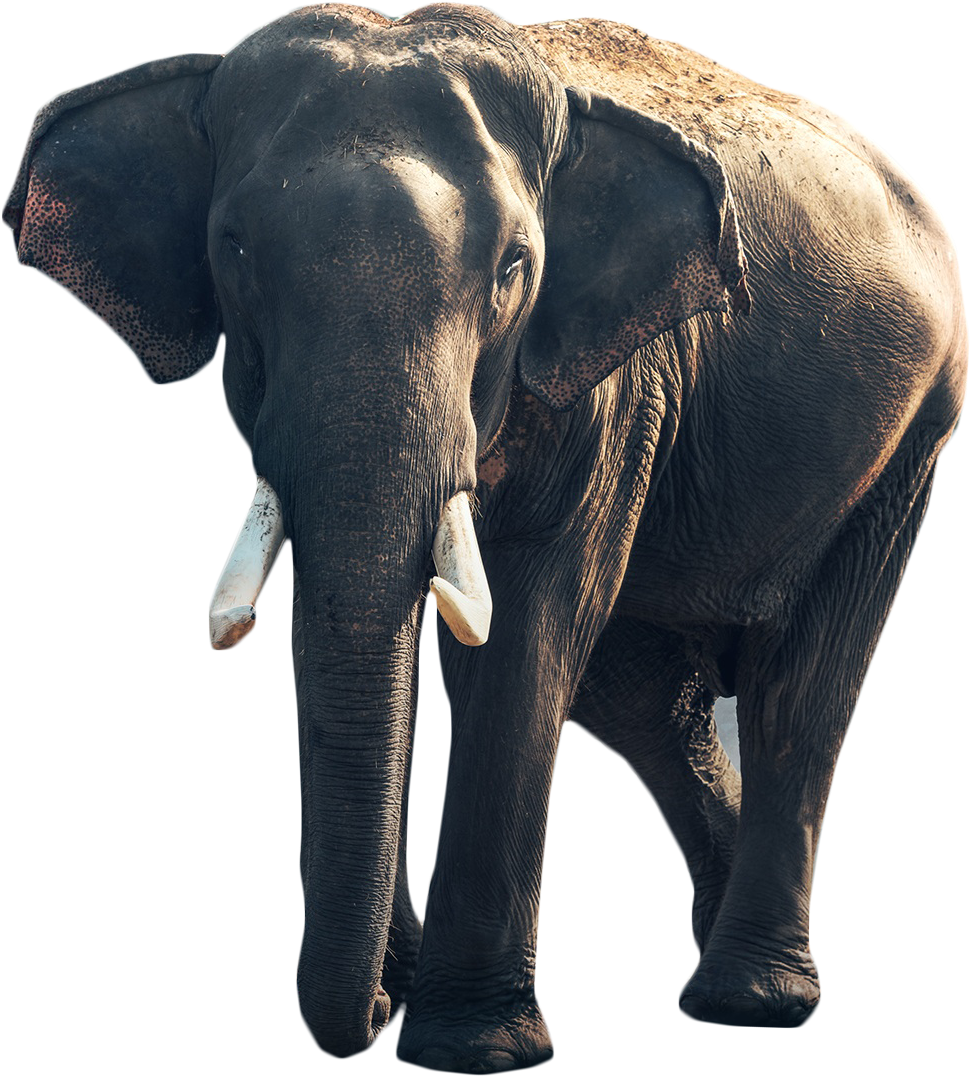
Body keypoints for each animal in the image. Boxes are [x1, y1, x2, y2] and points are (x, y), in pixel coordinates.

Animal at [5, 2, 966, 1069]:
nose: (372, 1015)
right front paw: (407, 997)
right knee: (643, 699)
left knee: (799, 690)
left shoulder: (615, 384)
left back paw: (745, 1000)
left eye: (514, 267)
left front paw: (469, 1048)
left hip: (912, 441)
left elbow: (521, 641)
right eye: (235, 251)